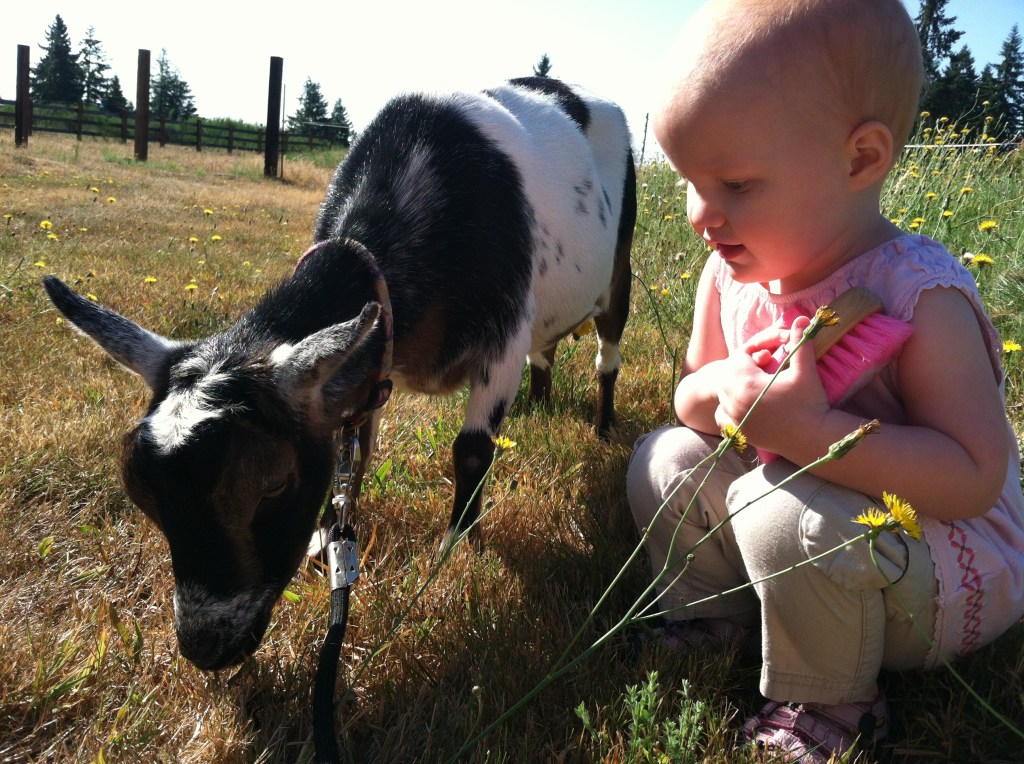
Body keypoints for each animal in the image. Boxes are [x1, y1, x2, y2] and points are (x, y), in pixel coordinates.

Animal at [43, 77, 636, 670]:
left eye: (274, 484)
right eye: (145, 498)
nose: (205, 645)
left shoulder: (504, 337)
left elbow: (471, 450)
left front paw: (455, 550)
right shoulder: (366, 366)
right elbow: (360, 450)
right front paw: (325, 543)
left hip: (617, 273)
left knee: (606, 356)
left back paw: (604, 426)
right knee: (546, 353)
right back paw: (538, 407)